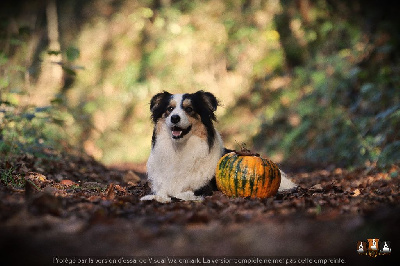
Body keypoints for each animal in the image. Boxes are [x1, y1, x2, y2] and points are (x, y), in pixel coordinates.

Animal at [141, 90, 296, 203]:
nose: (174, 118)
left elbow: (182, 193)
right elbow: (162, 192)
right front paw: (154, 197)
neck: (180, 148)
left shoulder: (204, 189)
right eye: (170, 109)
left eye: (189, 109)